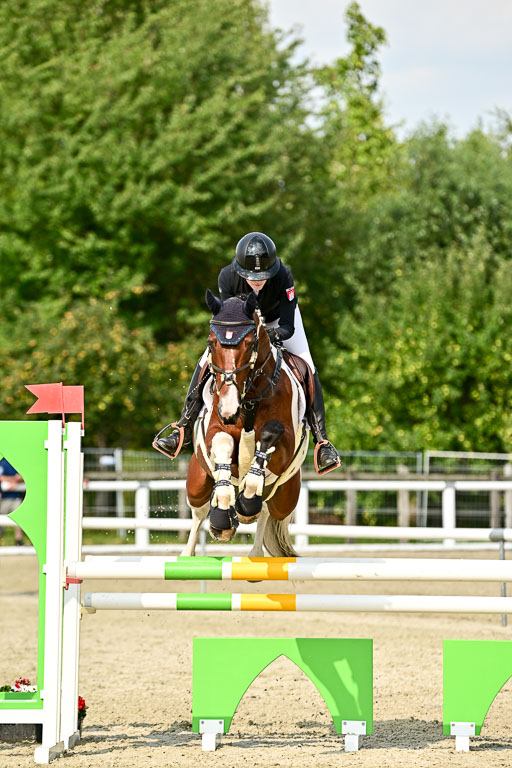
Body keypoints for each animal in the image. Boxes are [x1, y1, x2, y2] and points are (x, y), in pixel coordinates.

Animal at [179, 289, 309, 557]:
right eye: (211, 342)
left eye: (250, 344)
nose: (228, 410)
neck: (249, 397)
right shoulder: (215, 432)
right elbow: (222, 444)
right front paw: (223, 512)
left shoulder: (284, 449)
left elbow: (269, 438)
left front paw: (246, 503)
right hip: (197, 480)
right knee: (199, 511)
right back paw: (208, 535)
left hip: (286, 496)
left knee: (267, 510)